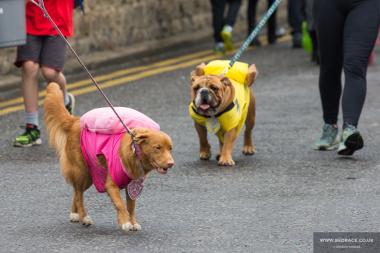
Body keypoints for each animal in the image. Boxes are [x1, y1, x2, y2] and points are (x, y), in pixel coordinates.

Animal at [45, 82, 175, 231]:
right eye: (157, 148)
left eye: (170, 149)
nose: (171, 163)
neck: (134, 153)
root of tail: (76, 121)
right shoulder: (111, 185)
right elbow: (120, 204)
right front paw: (125, 222)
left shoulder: (132, 186)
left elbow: (131, 206)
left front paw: (132, 222)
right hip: (82, 172)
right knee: (78, 195)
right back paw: (84, 217)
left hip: (89, 175)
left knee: (77, 192)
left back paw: (74, 214)